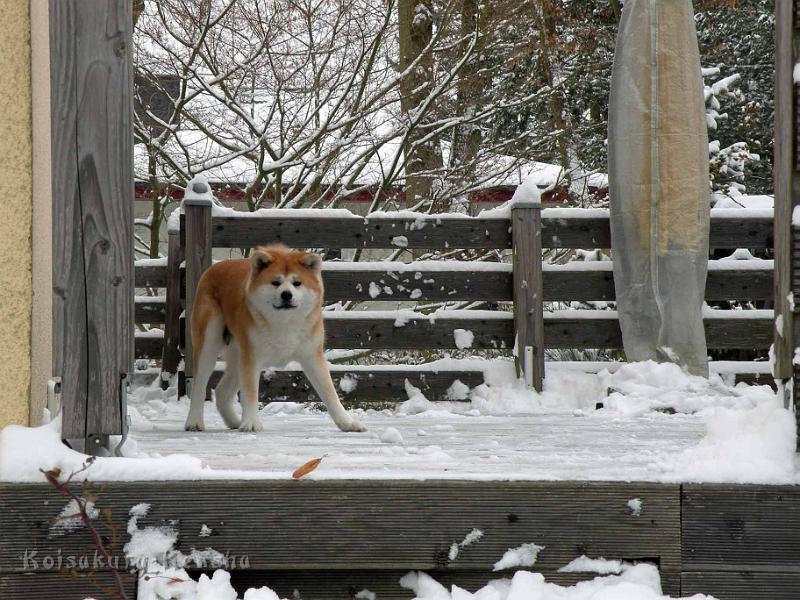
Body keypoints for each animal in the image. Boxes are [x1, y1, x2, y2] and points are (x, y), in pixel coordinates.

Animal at [184, 244, 366, 432]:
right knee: (199, 385)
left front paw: (347, 422)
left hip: (238, 354)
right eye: (275, 282)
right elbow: (250, 393)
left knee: (222, 392)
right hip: (209, 342)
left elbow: (330, 393)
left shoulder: (312, 356)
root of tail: (215, 267)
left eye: (297, 283)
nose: (286, 294)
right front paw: (251, 422)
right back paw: (195, 422)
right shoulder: (252, 357)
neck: (284, 322)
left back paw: (234, 422)